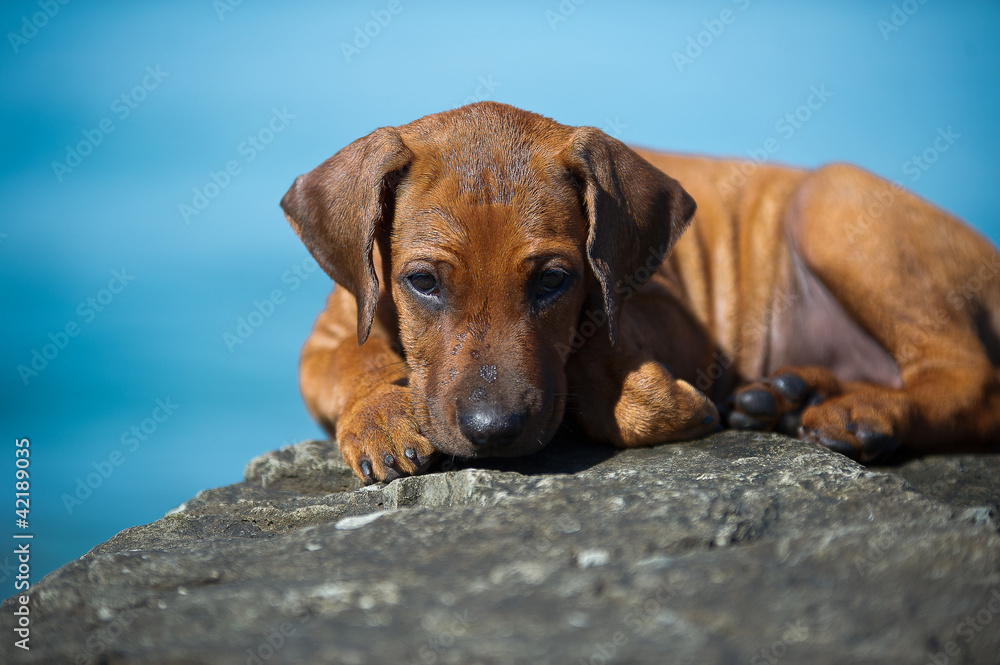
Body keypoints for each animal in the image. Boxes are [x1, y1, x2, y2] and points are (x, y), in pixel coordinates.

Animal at [282, 101, 1000, 482]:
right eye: (423, 282)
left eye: (553, 280)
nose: (494, 431)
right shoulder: (332, 330)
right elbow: (353, 357)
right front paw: (378, 413)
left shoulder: (670, 315)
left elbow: (595, 339)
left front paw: (654, 402)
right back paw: (788, 394)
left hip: (832, 202)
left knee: (970, 380)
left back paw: (863, 412)